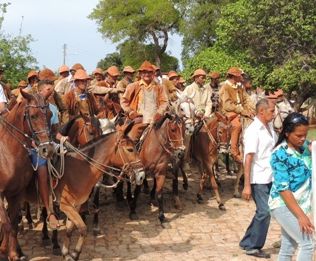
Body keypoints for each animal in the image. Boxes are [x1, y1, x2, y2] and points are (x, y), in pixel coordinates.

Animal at [0, 90, 53, 260]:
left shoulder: (16, 194)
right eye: (34, 116)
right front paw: (9, 252)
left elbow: (13, 224)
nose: (47, 150)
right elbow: (7, 224)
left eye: (49, 114)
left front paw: (12, 253)